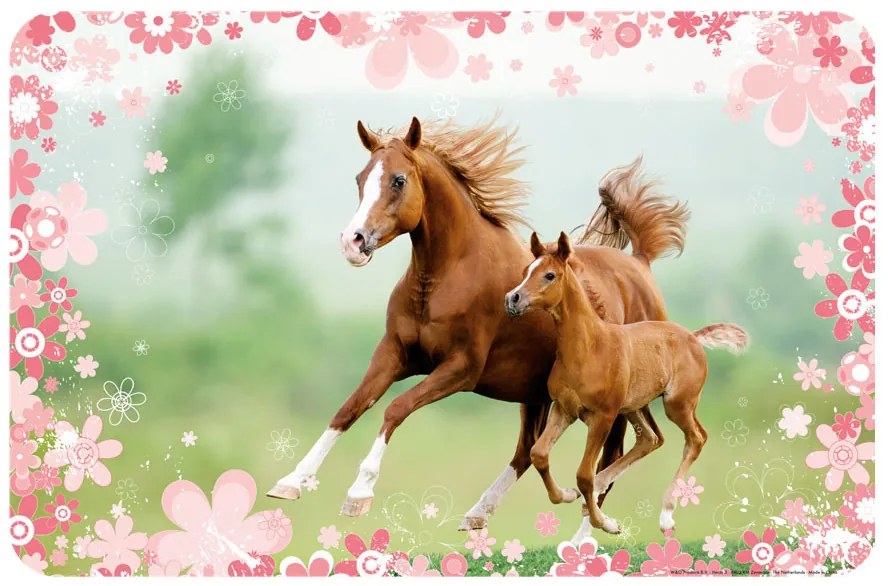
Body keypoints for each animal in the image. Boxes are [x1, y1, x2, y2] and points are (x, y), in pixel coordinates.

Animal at [267, 116, 690, 536]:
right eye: (360, 178)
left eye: (399, 180)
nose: (352, 242)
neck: (446, 275)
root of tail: (639, 263)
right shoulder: (393, 355)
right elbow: (349, 408)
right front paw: (290, 482)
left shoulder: (461, 368)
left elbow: (395, 409)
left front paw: (359, 492)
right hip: (535, 393)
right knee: (528, 451)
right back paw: (479, 512)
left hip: (615, 402)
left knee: (612, 456)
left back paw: (586, 536)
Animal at [505, 231, 748, 537]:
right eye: (526, 271)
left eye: (550, 275)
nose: (512, 299)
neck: (589, 348)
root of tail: (693, 337)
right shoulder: (564, 410)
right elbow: (539, 454)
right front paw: (568, 495)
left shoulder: (603, 416)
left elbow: (583, 474)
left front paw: (606, 523)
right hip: (634, 406)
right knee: (650, 438)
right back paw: (598, 489)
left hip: (676, 404)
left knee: (696, 438)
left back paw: (665, 515)